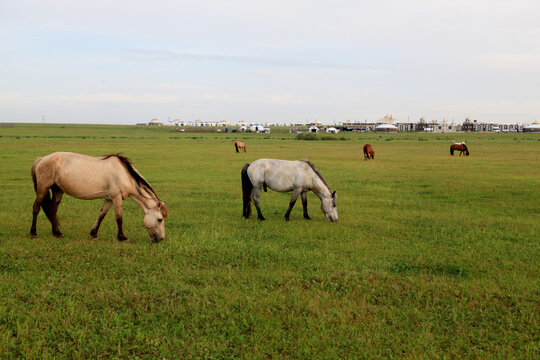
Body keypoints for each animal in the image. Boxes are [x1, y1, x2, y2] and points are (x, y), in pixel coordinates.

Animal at [30, 152, 169, 242]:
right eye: (160, 219)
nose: (161, 239)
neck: (124, 175)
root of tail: (41, 159)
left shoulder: (109, 199)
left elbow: (101, 215)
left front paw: (94, 234)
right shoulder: (116, 197)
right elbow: (119, 218)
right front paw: (122, 237)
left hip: (58, 190)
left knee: (53, 210)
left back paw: (57, 233)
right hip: (43, 189)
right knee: (36, 208)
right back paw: (33, 233)